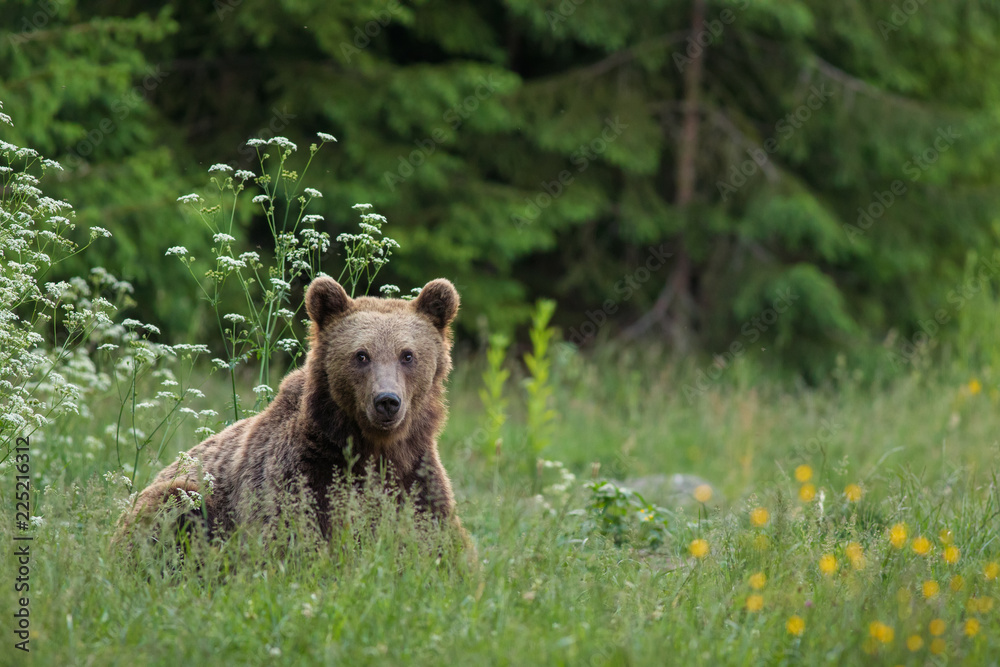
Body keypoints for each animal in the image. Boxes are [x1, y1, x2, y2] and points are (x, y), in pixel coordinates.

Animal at [116, 276, 467, 553]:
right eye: (361, 355)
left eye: (407, 355)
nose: (387, 401)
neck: (375, 446)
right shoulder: (303, 470)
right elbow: (292, 534)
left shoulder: (415, 473)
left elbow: (443, 544)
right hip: (185, 494)